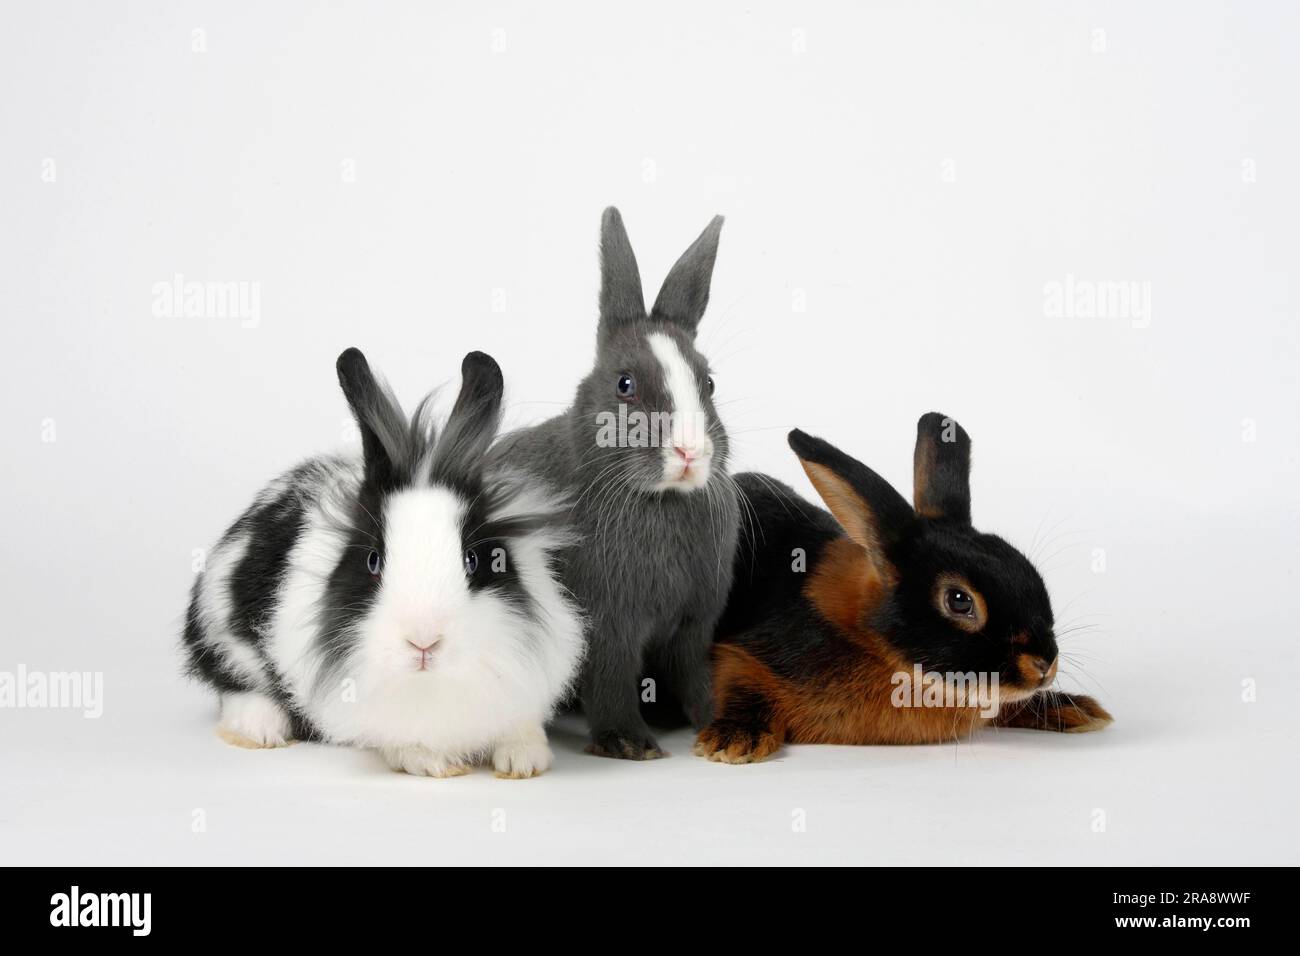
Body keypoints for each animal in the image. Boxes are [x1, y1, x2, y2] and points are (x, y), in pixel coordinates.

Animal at [182, 348, 585, 780]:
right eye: (373, 560)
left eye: (474, 559)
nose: (424, 641)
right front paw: (434, 763)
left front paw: (524, 760)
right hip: (220, 628)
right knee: (234, 684)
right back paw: (262, 730)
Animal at [488, 209, 743, 764]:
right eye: (625, 384)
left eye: (709, 384)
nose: (690, 452)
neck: (661, 501)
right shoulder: (607, 627)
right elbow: (611, 680)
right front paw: (629, 743)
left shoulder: (695, 626)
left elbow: (695, 674)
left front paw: (721, 722)